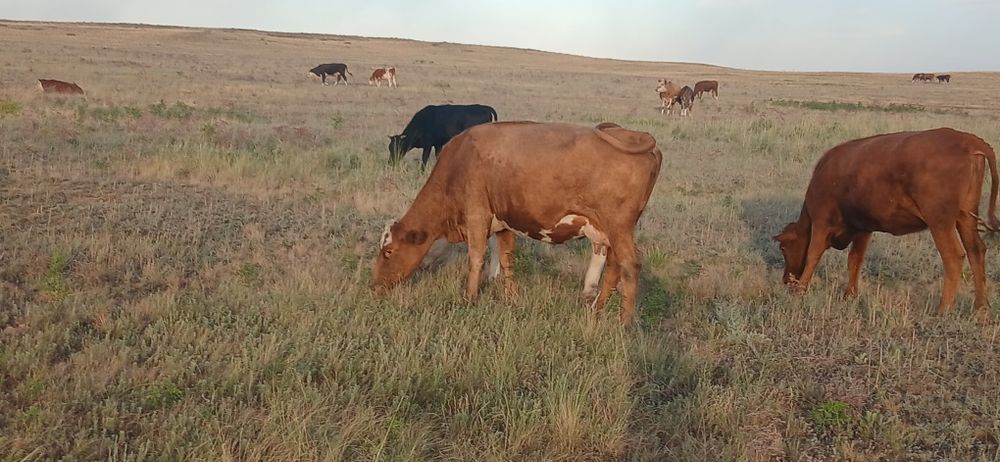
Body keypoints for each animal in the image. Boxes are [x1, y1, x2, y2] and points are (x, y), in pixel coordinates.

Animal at [373, 121, 662, 324]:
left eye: (388, 252)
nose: (374, 287)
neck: (460, 159)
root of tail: (633, 135)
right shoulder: (503, 224)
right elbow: (506, 260)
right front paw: (511, 297)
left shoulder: (477, 215)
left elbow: (476, 258)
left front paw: (469, 298)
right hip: (610, 233)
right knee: (613, 267)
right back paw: (597, 309)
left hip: (618, 229)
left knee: (630, 267)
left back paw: (624, 323)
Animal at [774, 128, 999, 323]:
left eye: (783, 248)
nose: (785, 280)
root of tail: (968, 139)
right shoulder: (863, 229)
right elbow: (855, 260)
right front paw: (850, 295)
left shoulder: (821, 222)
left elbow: (813, 255)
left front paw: (800, 290)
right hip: (965, 218)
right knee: (976, 251)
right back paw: (981, 308)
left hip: (940, 222)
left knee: (953, 256)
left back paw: (943, 309)